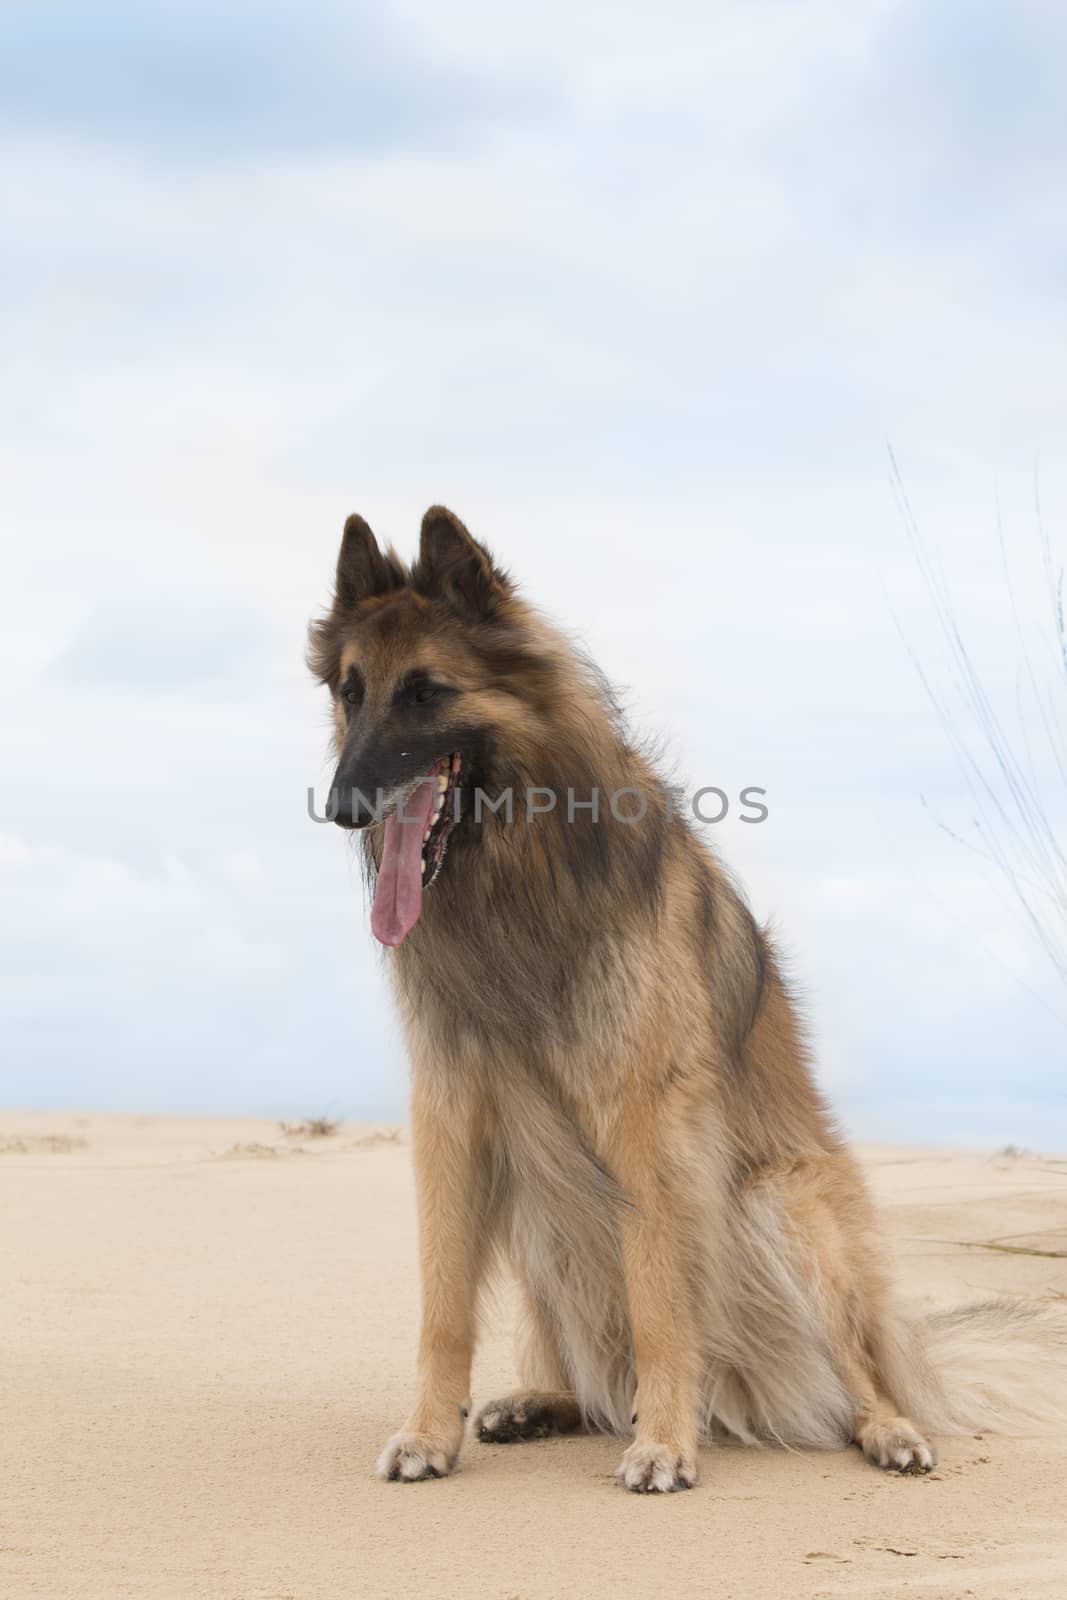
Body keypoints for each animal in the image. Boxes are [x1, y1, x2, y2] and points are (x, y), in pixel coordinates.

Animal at [307, 505, 1062, 1491]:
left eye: (426, 692)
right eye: (351, 693)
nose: (339, 806)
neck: (514, 873)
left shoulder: (647, 1120)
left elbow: (660, 1296)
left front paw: (664, 1441)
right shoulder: (450, 1110)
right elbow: (443, 1304)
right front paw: (430, 1433)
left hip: (783, 1210)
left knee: (855, 1373)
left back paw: (882, 1428)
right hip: (545, 1209)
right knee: (588, 1376)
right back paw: (542, 1401)